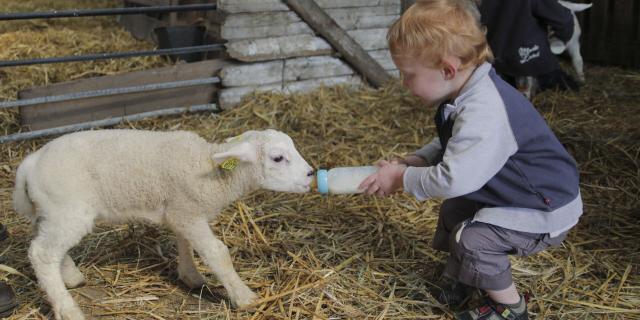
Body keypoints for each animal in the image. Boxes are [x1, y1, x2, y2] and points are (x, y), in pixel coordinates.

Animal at [13, 129, 316, 318]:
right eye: (277, 158)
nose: (311, 175)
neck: (211, 169)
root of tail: (30, 163)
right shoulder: (187, 211)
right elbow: (217, 253)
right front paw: (245, 297)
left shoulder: (181, 209)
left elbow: (186, 243)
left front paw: (191, 276)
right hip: (69, 210)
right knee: (41, 253)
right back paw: (68, 309)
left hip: (51, 212)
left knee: (45, 245)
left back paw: (71, 276)